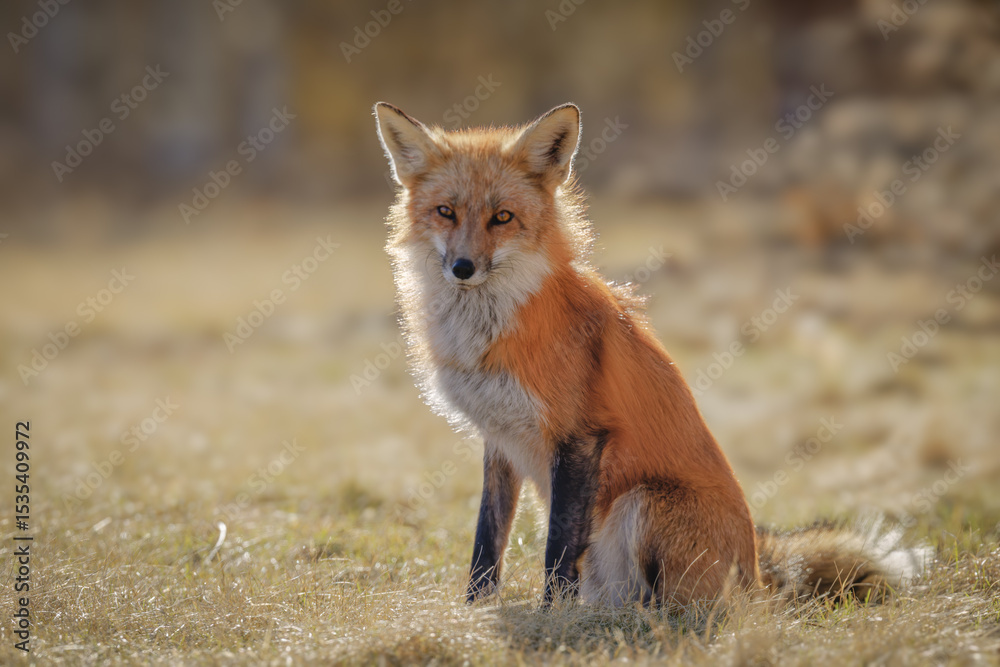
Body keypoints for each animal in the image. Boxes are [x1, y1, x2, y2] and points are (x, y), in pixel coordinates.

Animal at [373, 101, 927, 606]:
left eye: (502, 218)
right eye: (446, 212)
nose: (463, 268)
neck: (486, 337)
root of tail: (757, 577)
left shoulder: (580, 435)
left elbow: (558, 549)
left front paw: (552, 617)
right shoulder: (500, 437)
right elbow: (487, 541)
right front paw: (475, 608)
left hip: (642, 503)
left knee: (685, 608)